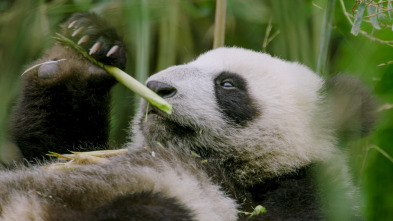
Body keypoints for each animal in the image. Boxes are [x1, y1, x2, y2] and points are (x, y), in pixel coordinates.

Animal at [0, 13, 374, 221]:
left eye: (228, 84)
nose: (157, 87)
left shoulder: (310, 193)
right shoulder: (78, 156)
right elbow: (53, 147)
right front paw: (85, 47)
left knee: (155, 209)